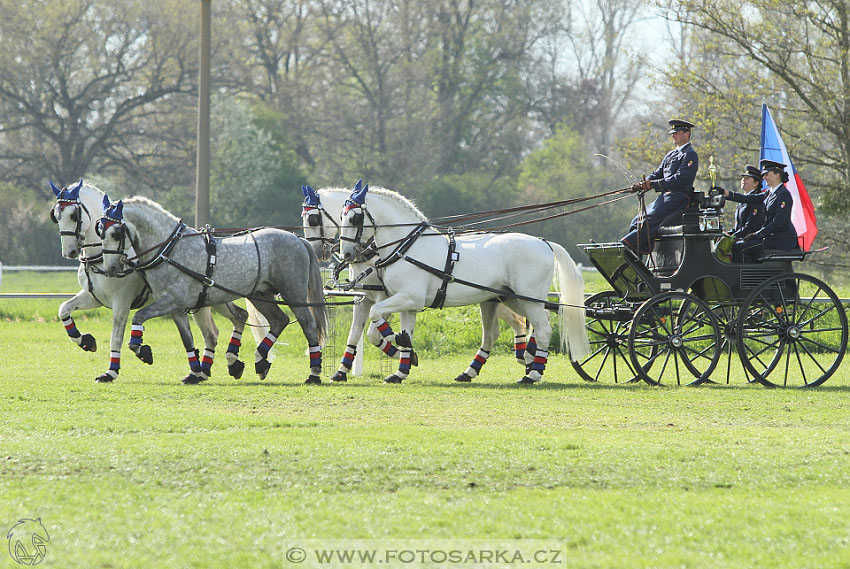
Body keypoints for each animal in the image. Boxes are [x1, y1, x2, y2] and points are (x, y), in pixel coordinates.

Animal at [49, 180, 252, 384]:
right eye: (56, 216)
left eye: (74, 215)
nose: (69, 251)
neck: (99, 256)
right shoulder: (93, 297)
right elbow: (64, 309)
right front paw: (85, 341)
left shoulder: (121, 302)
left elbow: (116, 336)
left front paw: (112, 371)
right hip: (208, 300)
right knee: (224, 326)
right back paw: (207, 370)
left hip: (211, 299)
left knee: (227, 324)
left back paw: (224, 365)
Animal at [97, 197, 328, 384]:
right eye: (100, 231)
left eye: (116, 233)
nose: (111, 268)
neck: (170, 250)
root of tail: (297, 238)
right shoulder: (176, 308)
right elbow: (187, 339)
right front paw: (194, 373)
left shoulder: (173, 301)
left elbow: (139, 316)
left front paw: (142, 351)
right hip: (260, 294)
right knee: (279, 320)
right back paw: (259, 362)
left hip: (293, 294)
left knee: (308, 325)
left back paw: (314, 374)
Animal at [302, 184, 528, 384]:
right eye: (340, 217)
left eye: (313, 219)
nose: (316, 251)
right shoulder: (364, 298)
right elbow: (355, 333)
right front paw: (341, 371)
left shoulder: (390, 296)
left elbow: (373, 333)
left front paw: (400, 352)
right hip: (492, 298)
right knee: (499, 330)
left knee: (520, 321)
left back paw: (526, 358)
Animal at [338, 184, 588, 384]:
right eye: (341, 217)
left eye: (354, 219)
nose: (346, 254)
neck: (407, 246)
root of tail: (544, 243)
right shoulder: (408, 304)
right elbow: (402, 332)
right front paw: (400, 371)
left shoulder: (409, 297)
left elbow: (375, 313)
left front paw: (395, 340)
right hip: (512, 298)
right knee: (522, 327)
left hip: (529, 299)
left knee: (544, 329)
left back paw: (532, 374)